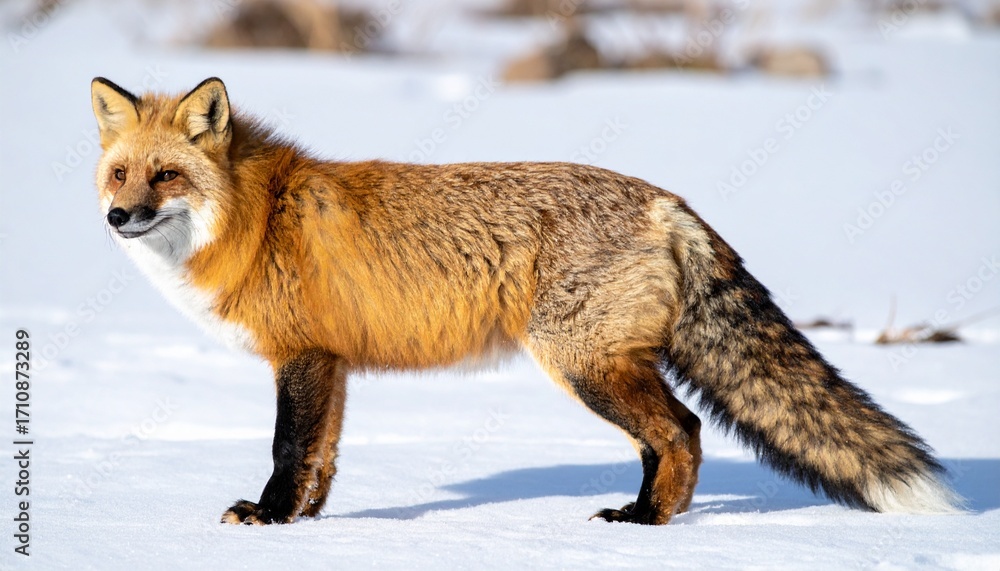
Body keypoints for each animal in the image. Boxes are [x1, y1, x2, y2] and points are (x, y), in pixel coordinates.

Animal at [90, 76, 962, 526]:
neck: (257, 213)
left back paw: (648, 522)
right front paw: (305, 524)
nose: (117, 218)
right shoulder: (330, 362)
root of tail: (667, 199)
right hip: (602, 365)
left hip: (583, 363)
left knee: (680, 431)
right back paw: (645, 512)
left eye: (166, 175)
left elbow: (285, 449)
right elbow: (322, 456)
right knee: (663, 439)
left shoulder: (300, 356)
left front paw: (267, 520)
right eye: (120, 172)